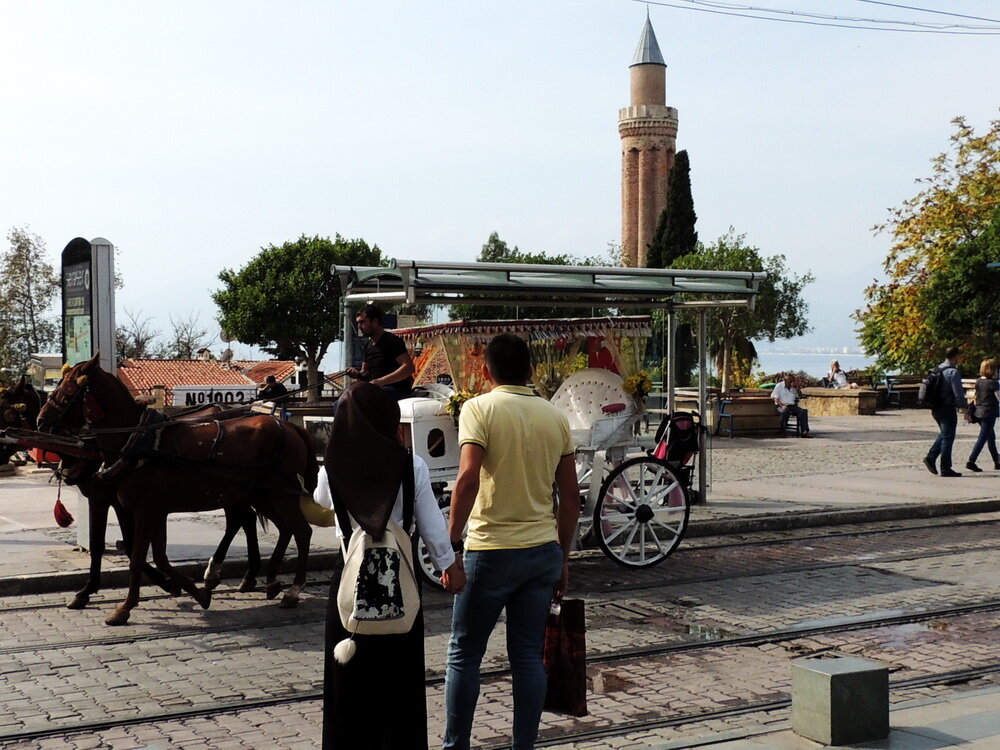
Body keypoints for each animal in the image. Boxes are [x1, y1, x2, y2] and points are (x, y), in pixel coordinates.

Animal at [0, 382, 266, 612]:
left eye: (7, 411)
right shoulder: (114, 500)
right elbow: (116, 544)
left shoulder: (109, 499)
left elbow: (116, 545)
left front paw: (165, 583)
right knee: (244, 519)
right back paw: (243, 576)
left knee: (241, 519)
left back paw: (229, 574)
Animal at [38, 356, 316, 624]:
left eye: (69, 388)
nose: (42, 420)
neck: (136, 443)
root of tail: (290, 427)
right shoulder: (148, 510)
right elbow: (156, 556)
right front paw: (194, 592)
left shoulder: (140, 509)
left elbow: (136, 555)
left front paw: (125, 607)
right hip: (261, 494)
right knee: (278, 527)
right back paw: (267, 580)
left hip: (279, 492)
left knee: (300, 531)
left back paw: (292, 590)